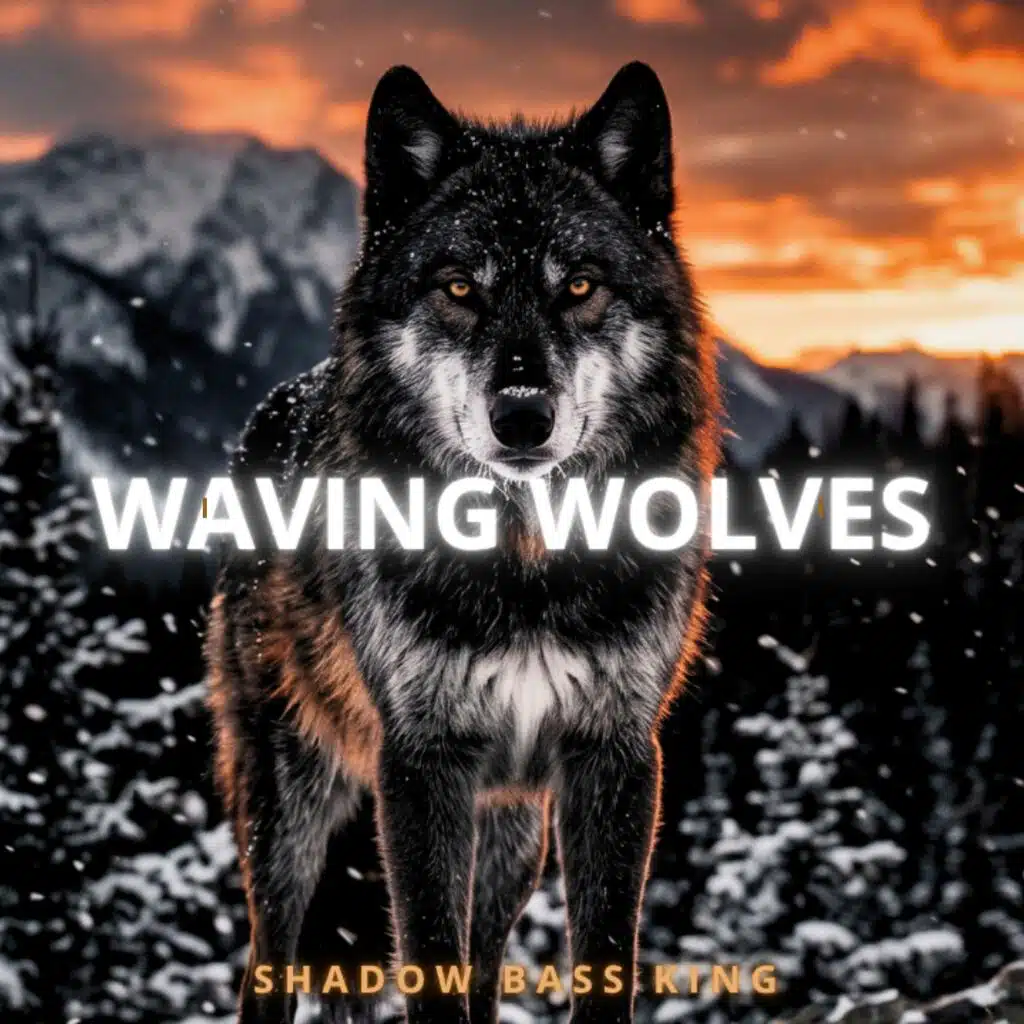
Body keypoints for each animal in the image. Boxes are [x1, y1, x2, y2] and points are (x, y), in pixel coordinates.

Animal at [205, 61, 720, 1024]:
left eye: (579, 286)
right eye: (458, 287)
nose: (522, 417)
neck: (525, 567)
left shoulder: (616, 757)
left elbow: (598, 961)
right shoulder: (421, 764)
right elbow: (428, 964)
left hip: (512, 832)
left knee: (481, 965)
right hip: (291, 808)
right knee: (268, 962)